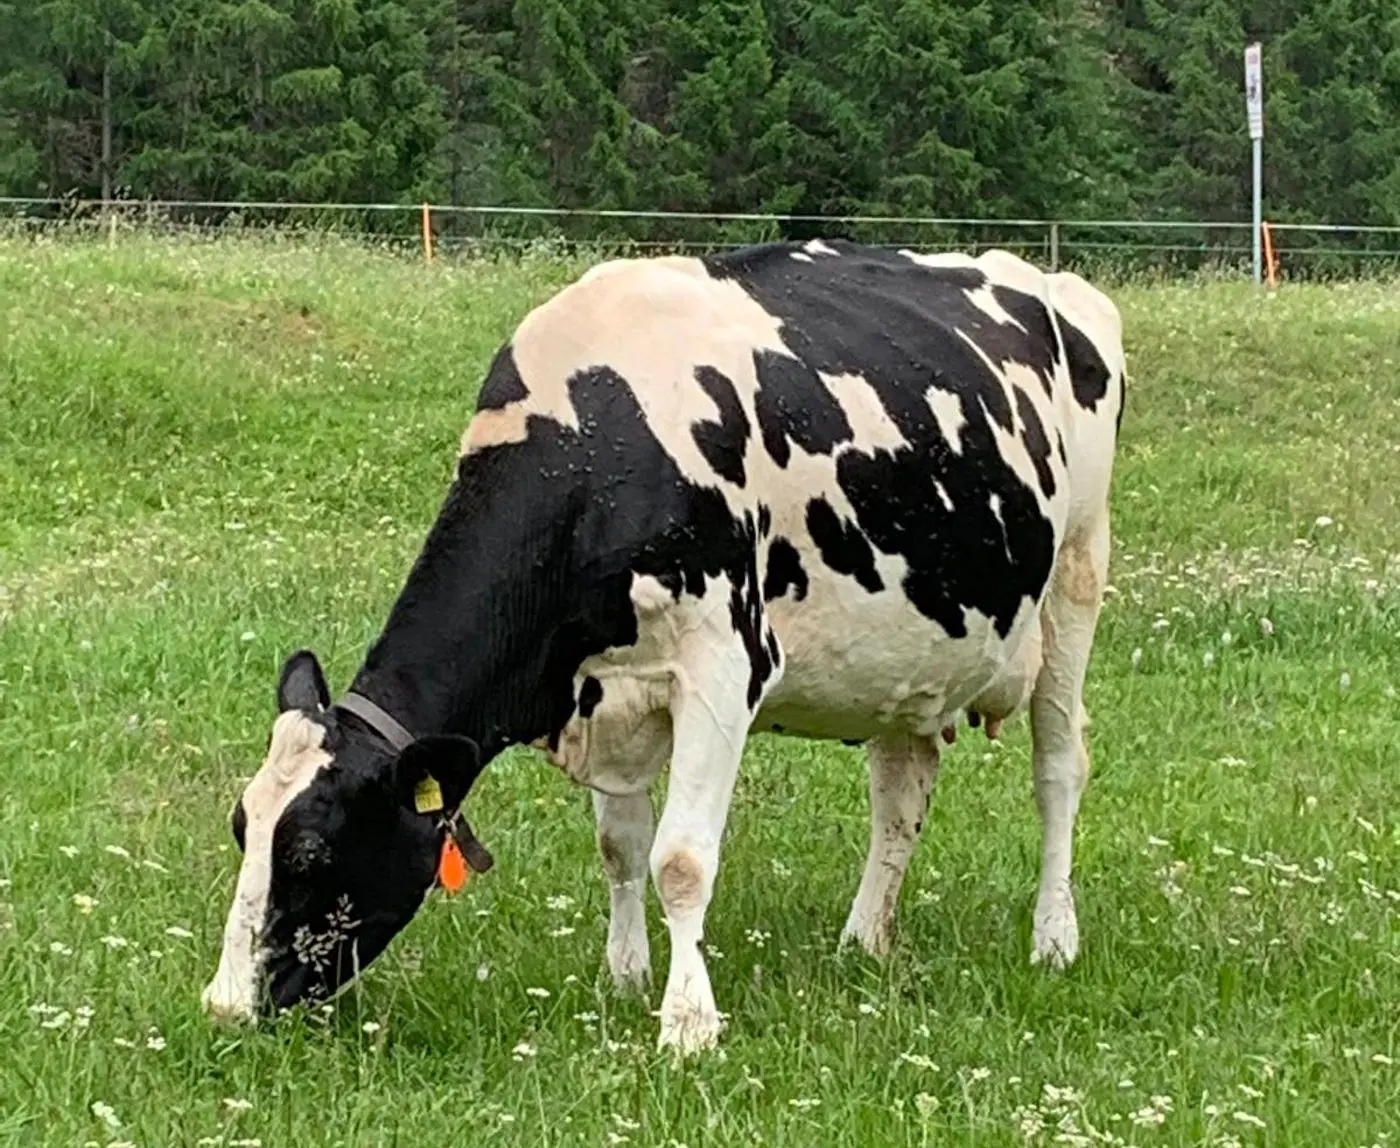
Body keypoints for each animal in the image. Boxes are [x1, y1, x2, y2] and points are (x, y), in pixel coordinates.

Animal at [201, 239, 1126, 1054]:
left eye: (313, 849)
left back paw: (1054, 937)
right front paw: (626, 979)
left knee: (1059, 767)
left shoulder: (724, 662)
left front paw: (688, 1025)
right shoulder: (603, 687)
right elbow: (620, 846)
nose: (224, 1006)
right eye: (243, 826)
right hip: (910, 655)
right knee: (900, 791)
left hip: (1076, 577)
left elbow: (680, 858)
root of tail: (1055, 283)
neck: (600, 444)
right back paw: (864, 942)